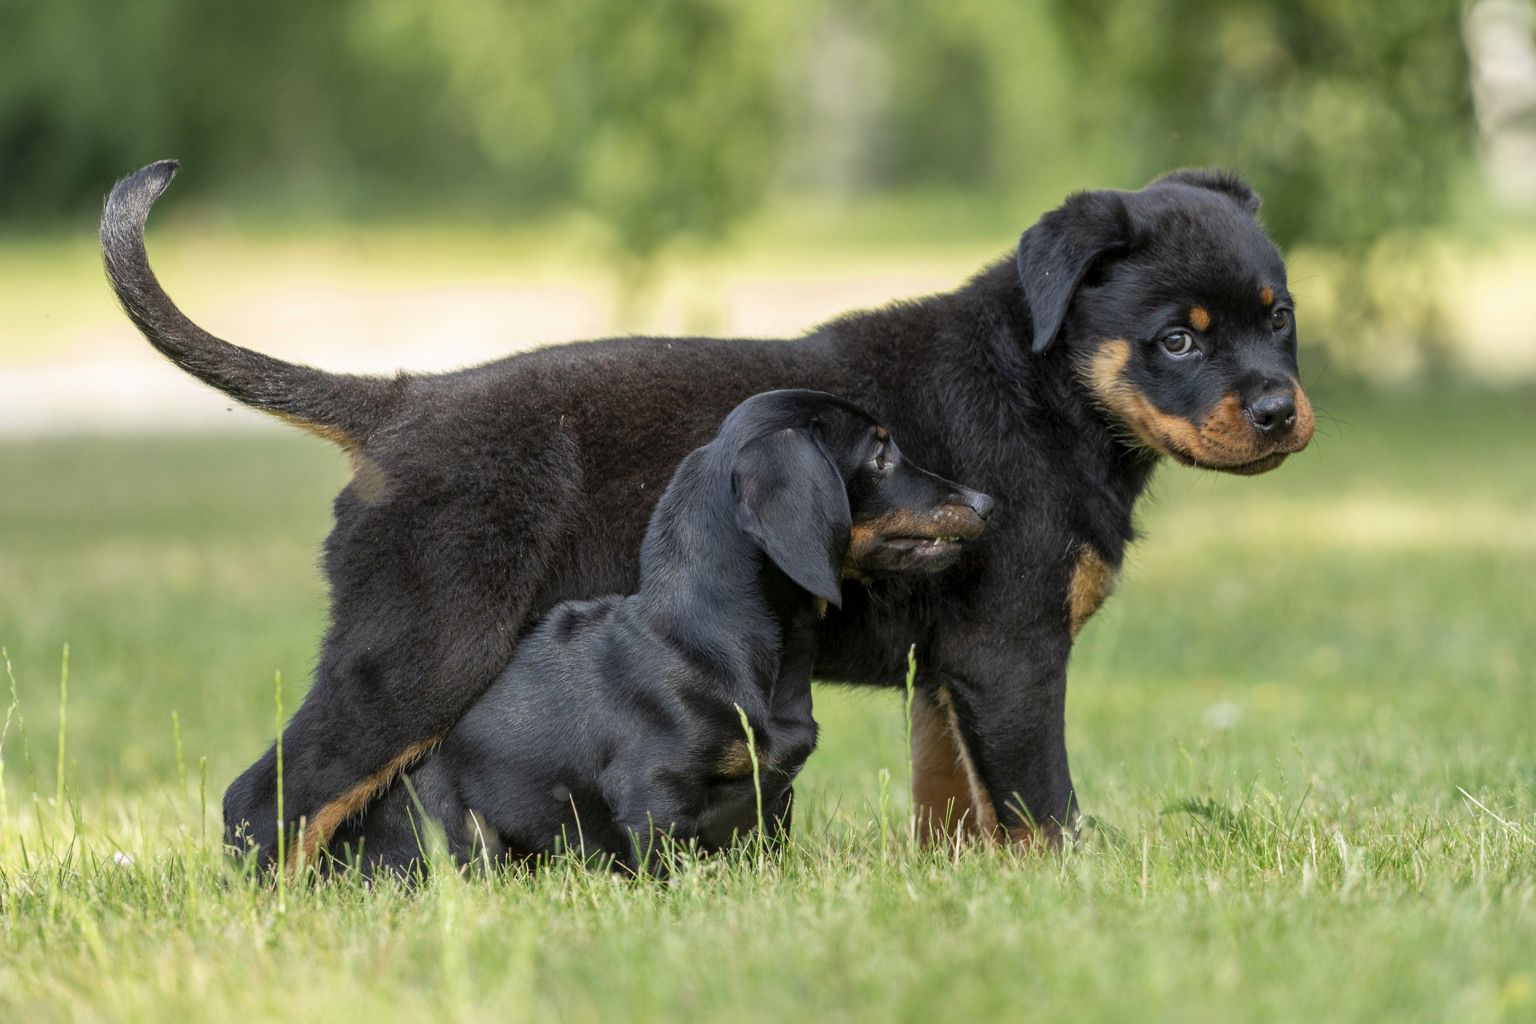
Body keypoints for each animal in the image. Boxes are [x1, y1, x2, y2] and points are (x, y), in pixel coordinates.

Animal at [327, 388, 995, 878]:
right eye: (881, 456)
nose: (987, 501)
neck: (716, 645)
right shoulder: (653, 793)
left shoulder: (773, 800)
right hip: (456, 828)